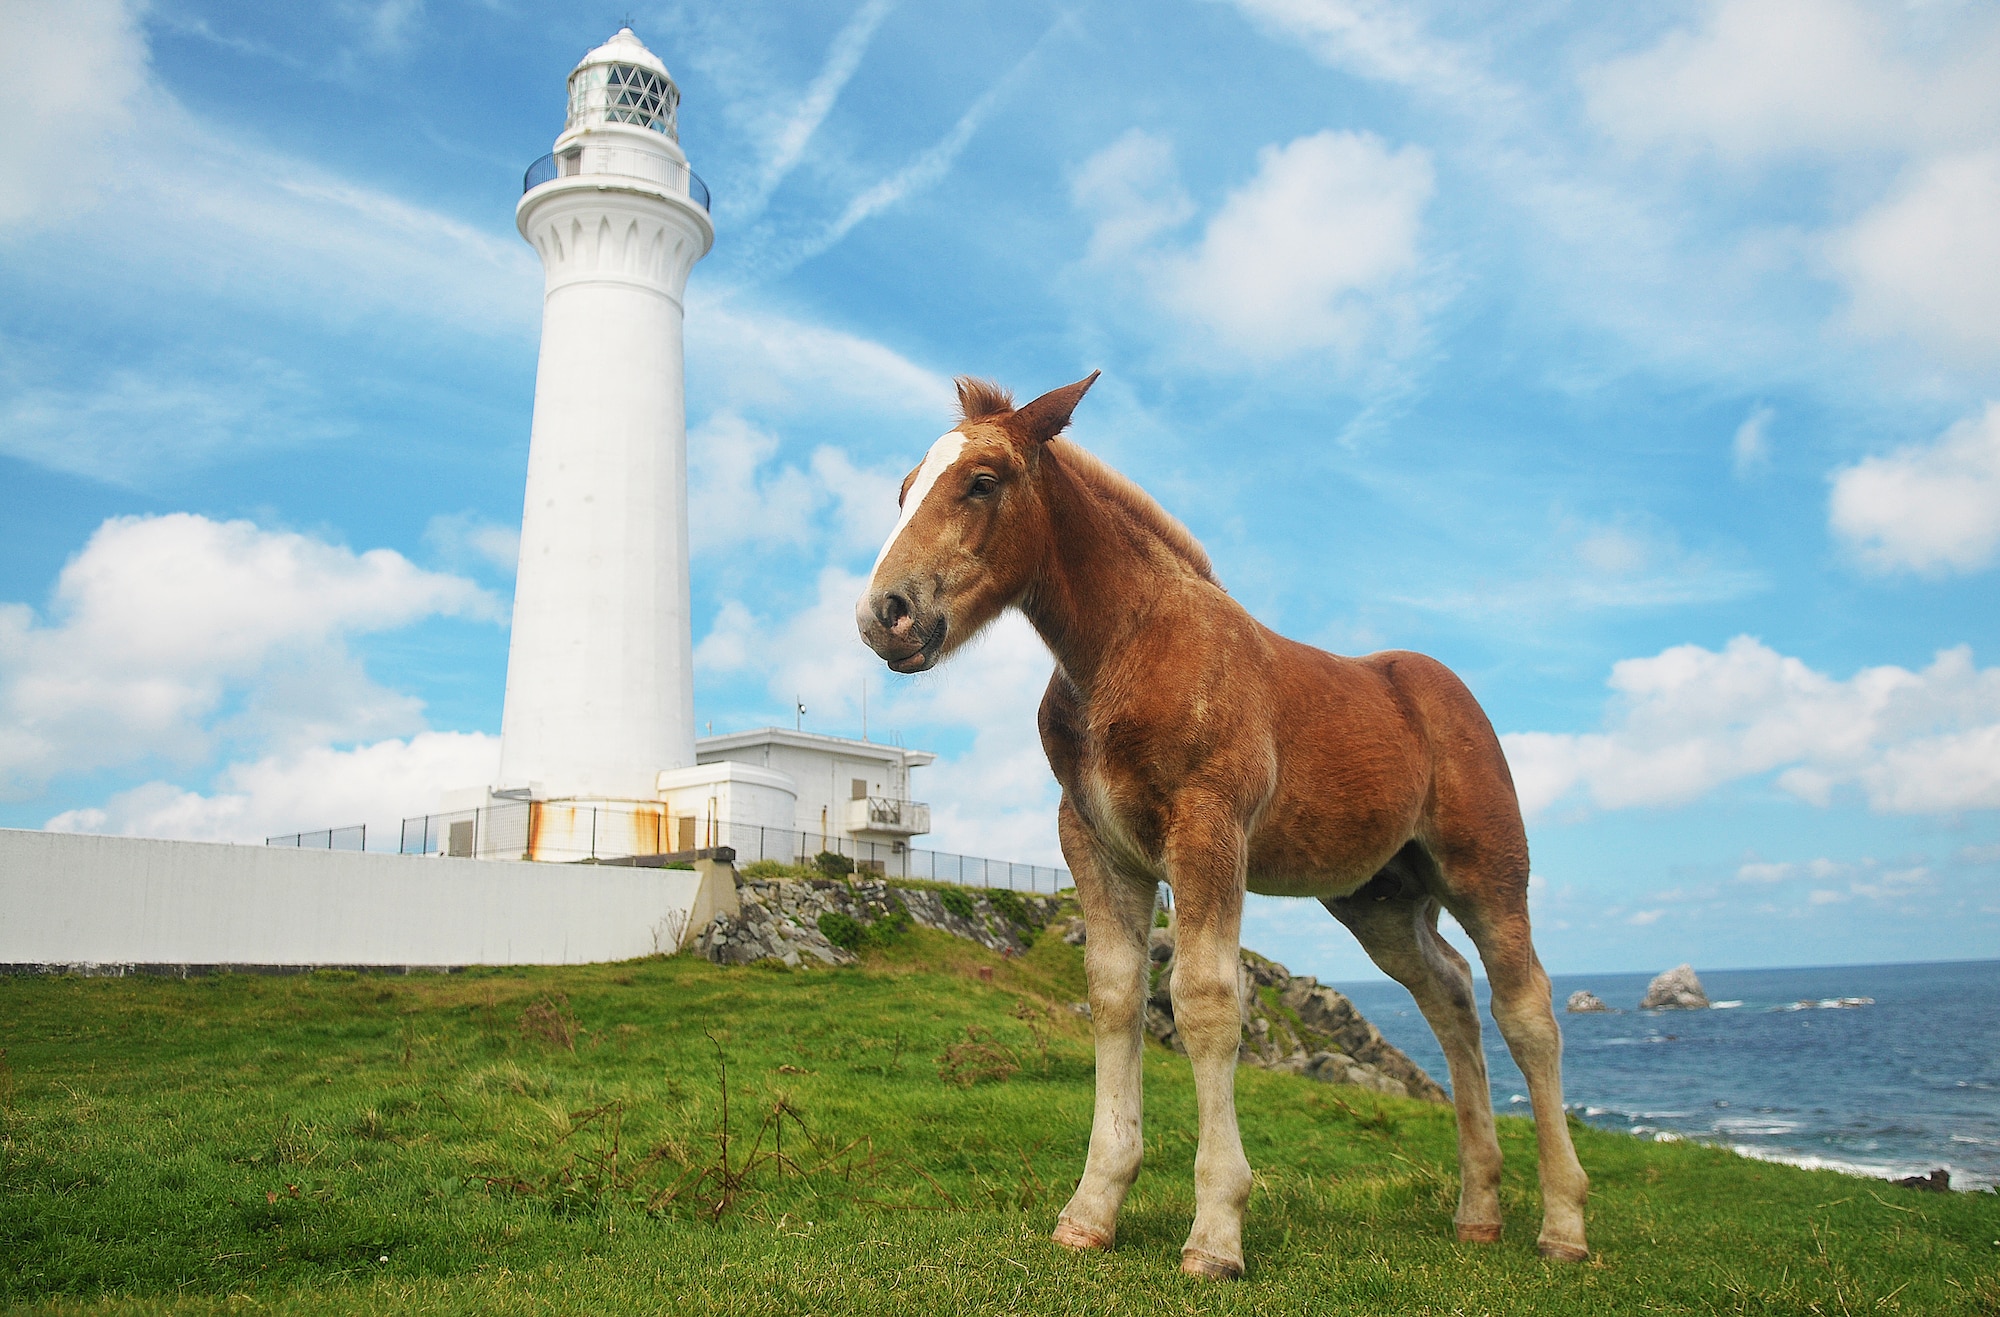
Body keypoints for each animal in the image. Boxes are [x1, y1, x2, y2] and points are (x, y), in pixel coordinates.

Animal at [852, 368, 1584, 1272]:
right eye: (903, 489)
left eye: (982, 482)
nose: (885, 613)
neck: (1124, 650)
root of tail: (1450, 692)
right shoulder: (1094, 844)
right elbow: (1115, 995)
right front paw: (1092, 1208)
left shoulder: (1208, 831)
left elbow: (1202, 999)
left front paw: (1216, 1231)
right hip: (1379, 898)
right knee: (1449, 995)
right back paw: (1477, 1208)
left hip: (1486, 871)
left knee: (1528, 1010)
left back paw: (1564, 1223)